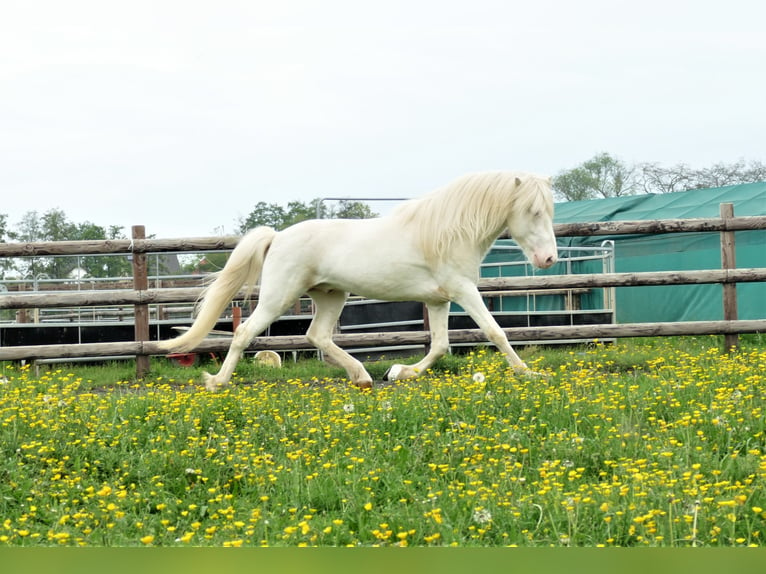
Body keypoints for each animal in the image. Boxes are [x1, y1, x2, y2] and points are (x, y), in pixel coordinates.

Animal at [159, 172, 560, 392]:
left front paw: (402, 372)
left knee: (317, 336)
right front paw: (530, 374)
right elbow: (496, 332)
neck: (448, 232)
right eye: (533, 211)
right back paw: (217, 382)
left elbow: (440, 345)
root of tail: (278, 236)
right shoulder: (463, 290)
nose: (549, 259)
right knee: (245, 333)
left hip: (331, 296)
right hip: (279, 296)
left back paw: (363, 376)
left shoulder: (439, 299)